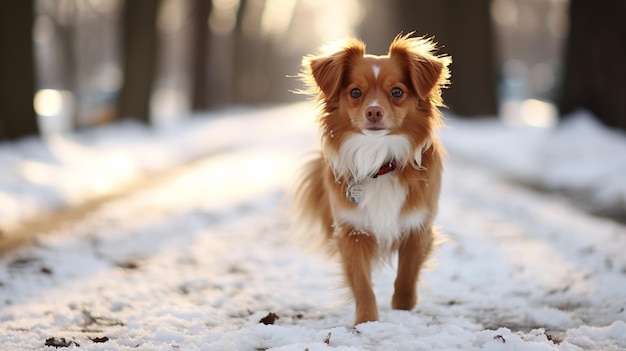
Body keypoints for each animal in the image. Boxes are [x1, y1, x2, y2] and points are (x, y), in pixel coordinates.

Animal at [292, 34, 448, 326]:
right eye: (355, 92)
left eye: (397, 92)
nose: (373, 112)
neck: (379, 161)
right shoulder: (351, 231)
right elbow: (361, 283)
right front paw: (366, 323)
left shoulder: (417, 226)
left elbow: (407, 277)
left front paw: (402, 310)